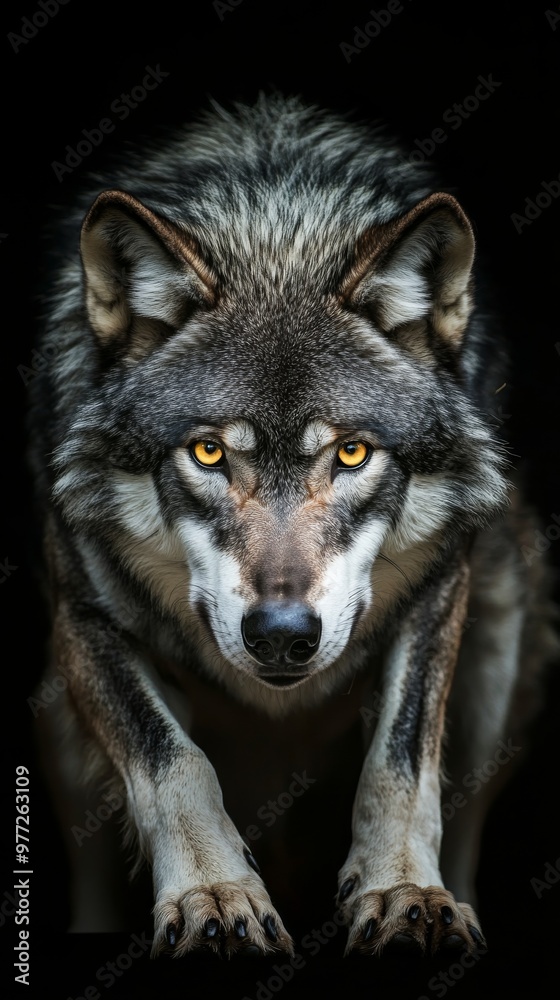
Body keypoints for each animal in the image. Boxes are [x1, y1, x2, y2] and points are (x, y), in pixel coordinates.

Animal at [29, 93, 555, 960]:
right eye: (209, 452)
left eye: (351, 452)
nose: (280, 635)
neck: (277, 229)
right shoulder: (83, 614)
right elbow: (172, 763)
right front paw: (212, 896)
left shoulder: (439, 590)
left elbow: (401, 764)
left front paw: (404, 894)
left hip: (502, 655)